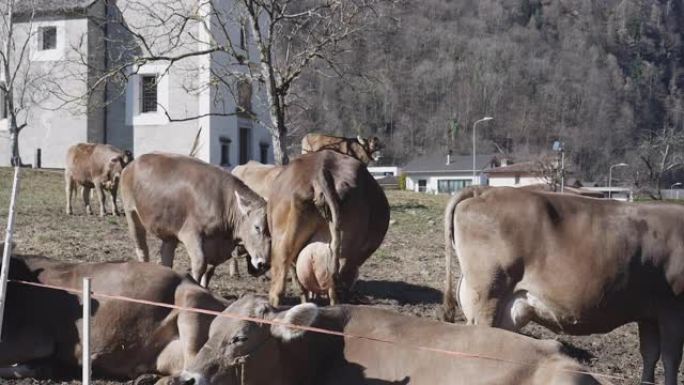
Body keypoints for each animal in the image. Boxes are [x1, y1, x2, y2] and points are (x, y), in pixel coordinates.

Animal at [120, 152, 270, 284]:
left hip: (170, 232)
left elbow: (208, 272)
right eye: (257, 227)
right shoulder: (191, 234)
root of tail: (133, 163)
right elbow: (200, 264)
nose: (264, 264)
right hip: (132, 214)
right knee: (142, 250)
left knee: (166, 256)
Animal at [444, 185, 684, 384]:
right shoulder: (673, 309)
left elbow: (650, 354)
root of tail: (484, 190)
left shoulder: (649, 314)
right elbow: (671, 359)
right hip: (488, 296)